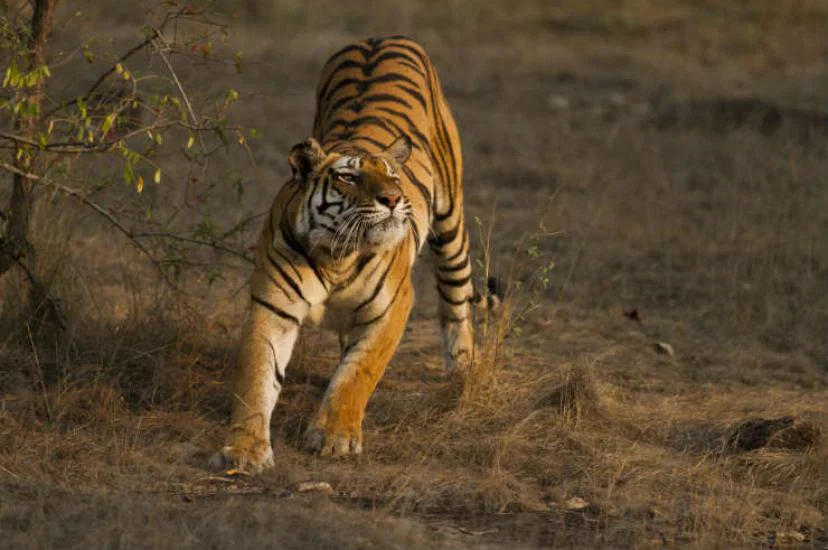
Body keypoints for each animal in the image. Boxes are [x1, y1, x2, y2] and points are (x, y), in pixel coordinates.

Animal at [214, 36, 486, 473]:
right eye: (348, 177)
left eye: (392, 176)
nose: (392, 198)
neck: (337, 255)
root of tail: (383, 37)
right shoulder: (273, 306)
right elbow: (256, 378)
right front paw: (245, 450)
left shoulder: (392, 307)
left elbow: (358, 372)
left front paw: (334, 436)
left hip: (451, 223)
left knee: (457, 299)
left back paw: (462, 371)